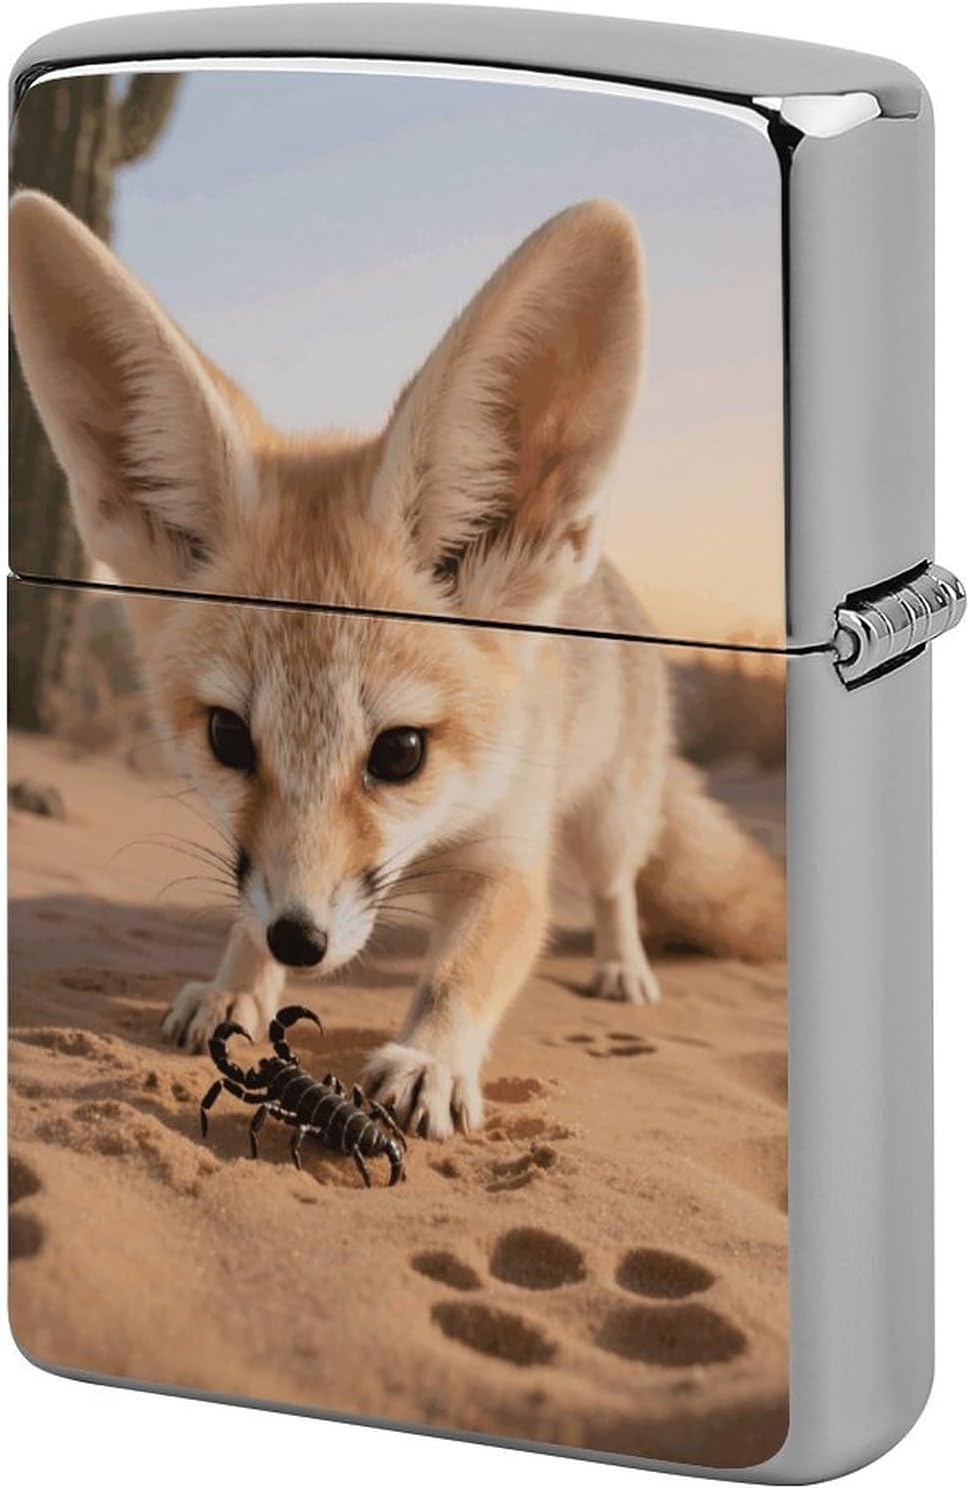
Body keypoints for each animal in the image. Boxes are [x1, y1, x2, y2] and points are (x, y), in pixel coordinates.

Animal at [9, 190, 786, 1139]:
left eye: (401, 752)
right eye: (228, 738)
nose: (300, 942)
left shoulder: (508, 863)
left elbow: (464, 971)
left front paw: (430, 1058)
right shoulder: (266, 873)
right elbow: (245, 912)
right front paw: (237, 987)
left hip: (607, 818)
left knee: (616, 888)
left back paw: (622, 965)